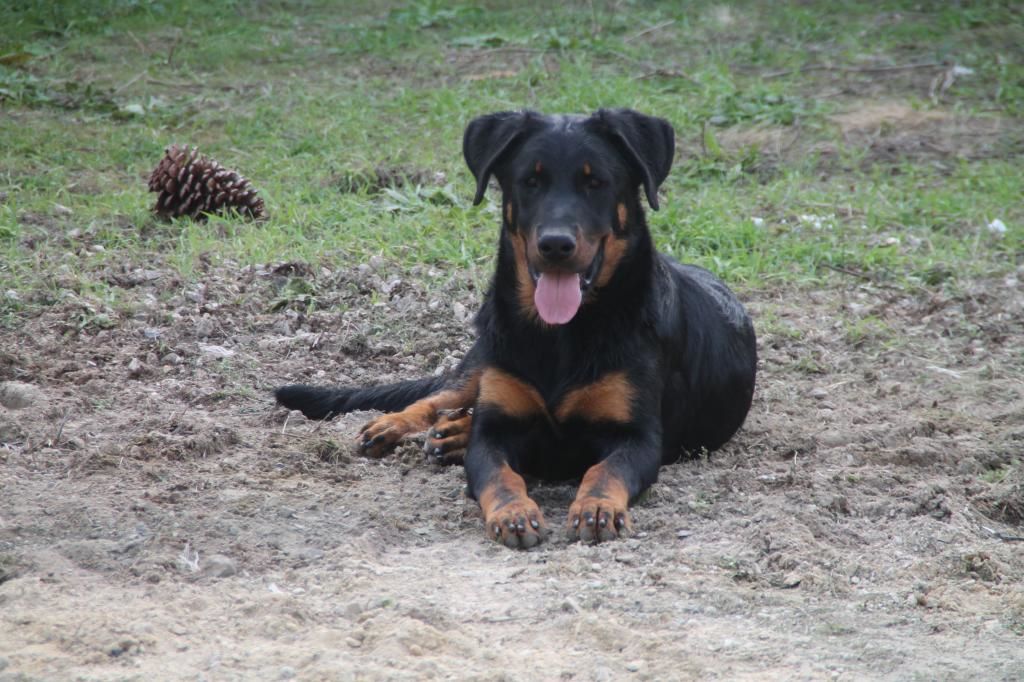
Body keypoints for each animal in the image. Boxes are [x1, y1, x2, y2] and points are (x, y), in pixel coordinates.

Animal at [276, 109, 757, 548]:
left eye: (596, 183)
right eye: (530, 181)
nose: (556, 245)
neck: (562, 334)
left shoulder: (637, 437)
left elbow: (605, 470)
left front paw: (597, 507)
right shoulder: (496, 429)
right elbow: (499, 475)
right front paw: (513, 513)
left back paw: (452, 435)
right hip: (482, 358)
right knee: (440, 396)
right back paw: (397, 425)